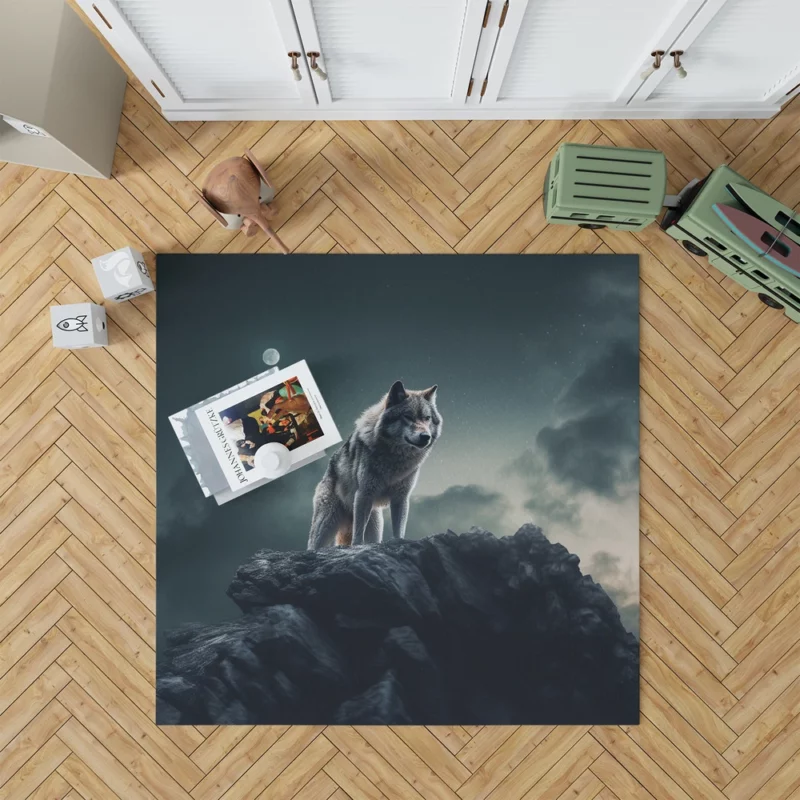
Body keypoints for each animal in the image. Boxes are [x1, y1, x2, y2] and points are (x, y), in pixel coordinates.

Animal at [308, 382, 444, 552]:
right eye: (407, 416)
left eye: (427, 418)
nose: (425, 437)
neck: (395, 460)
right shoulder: (364, 494)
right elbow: (358, 533)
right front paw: (357, 547)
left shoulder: (401, 497)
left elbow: (399, 528)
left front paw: (399, 542)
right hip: (326, 524)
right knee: (313, 545)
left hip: (375, 525)